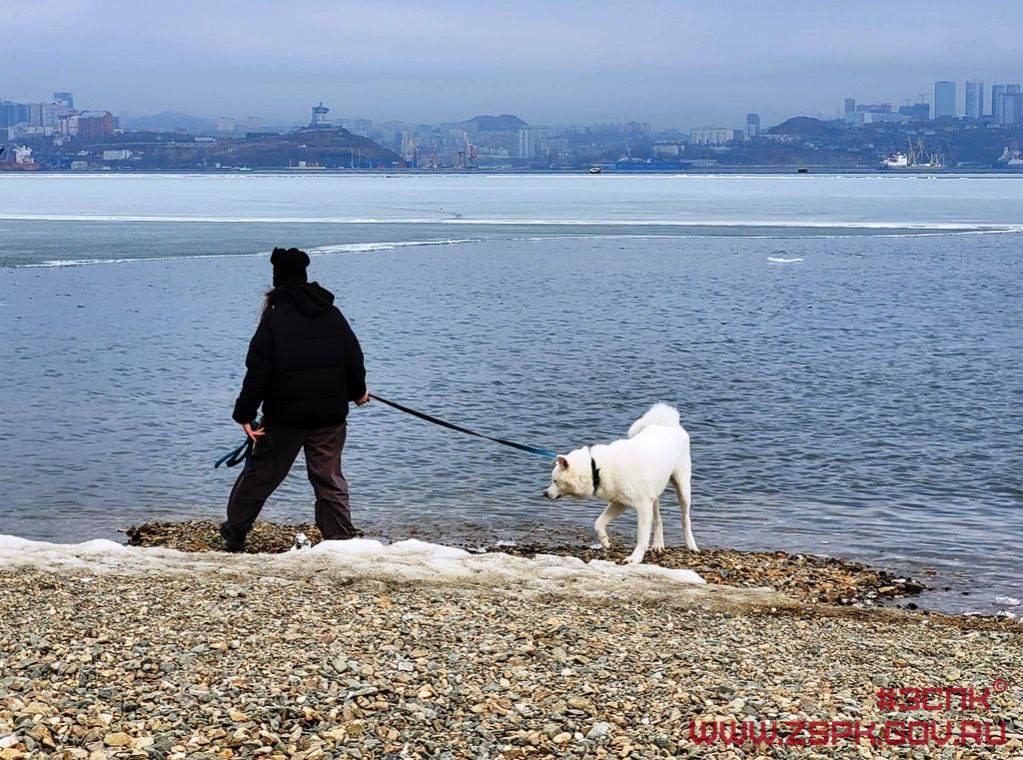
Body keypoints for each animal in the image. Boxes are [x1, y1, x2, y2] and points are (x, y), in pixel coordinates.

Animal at [544, 405, 695, 564]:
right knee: (658, 519)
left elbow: (642, 537)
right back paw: (658, 545)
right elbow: (598, 523)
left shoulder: (642, 506)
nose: (544, 493)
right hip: (654, 495)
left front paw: (635, 558)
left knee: (685, 519)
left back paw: (691, 544)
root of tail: (669, 423)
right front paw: (604, 541)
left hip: (682, 488)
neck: (596, 469)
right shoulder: (619, 503)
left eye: (555, 481)